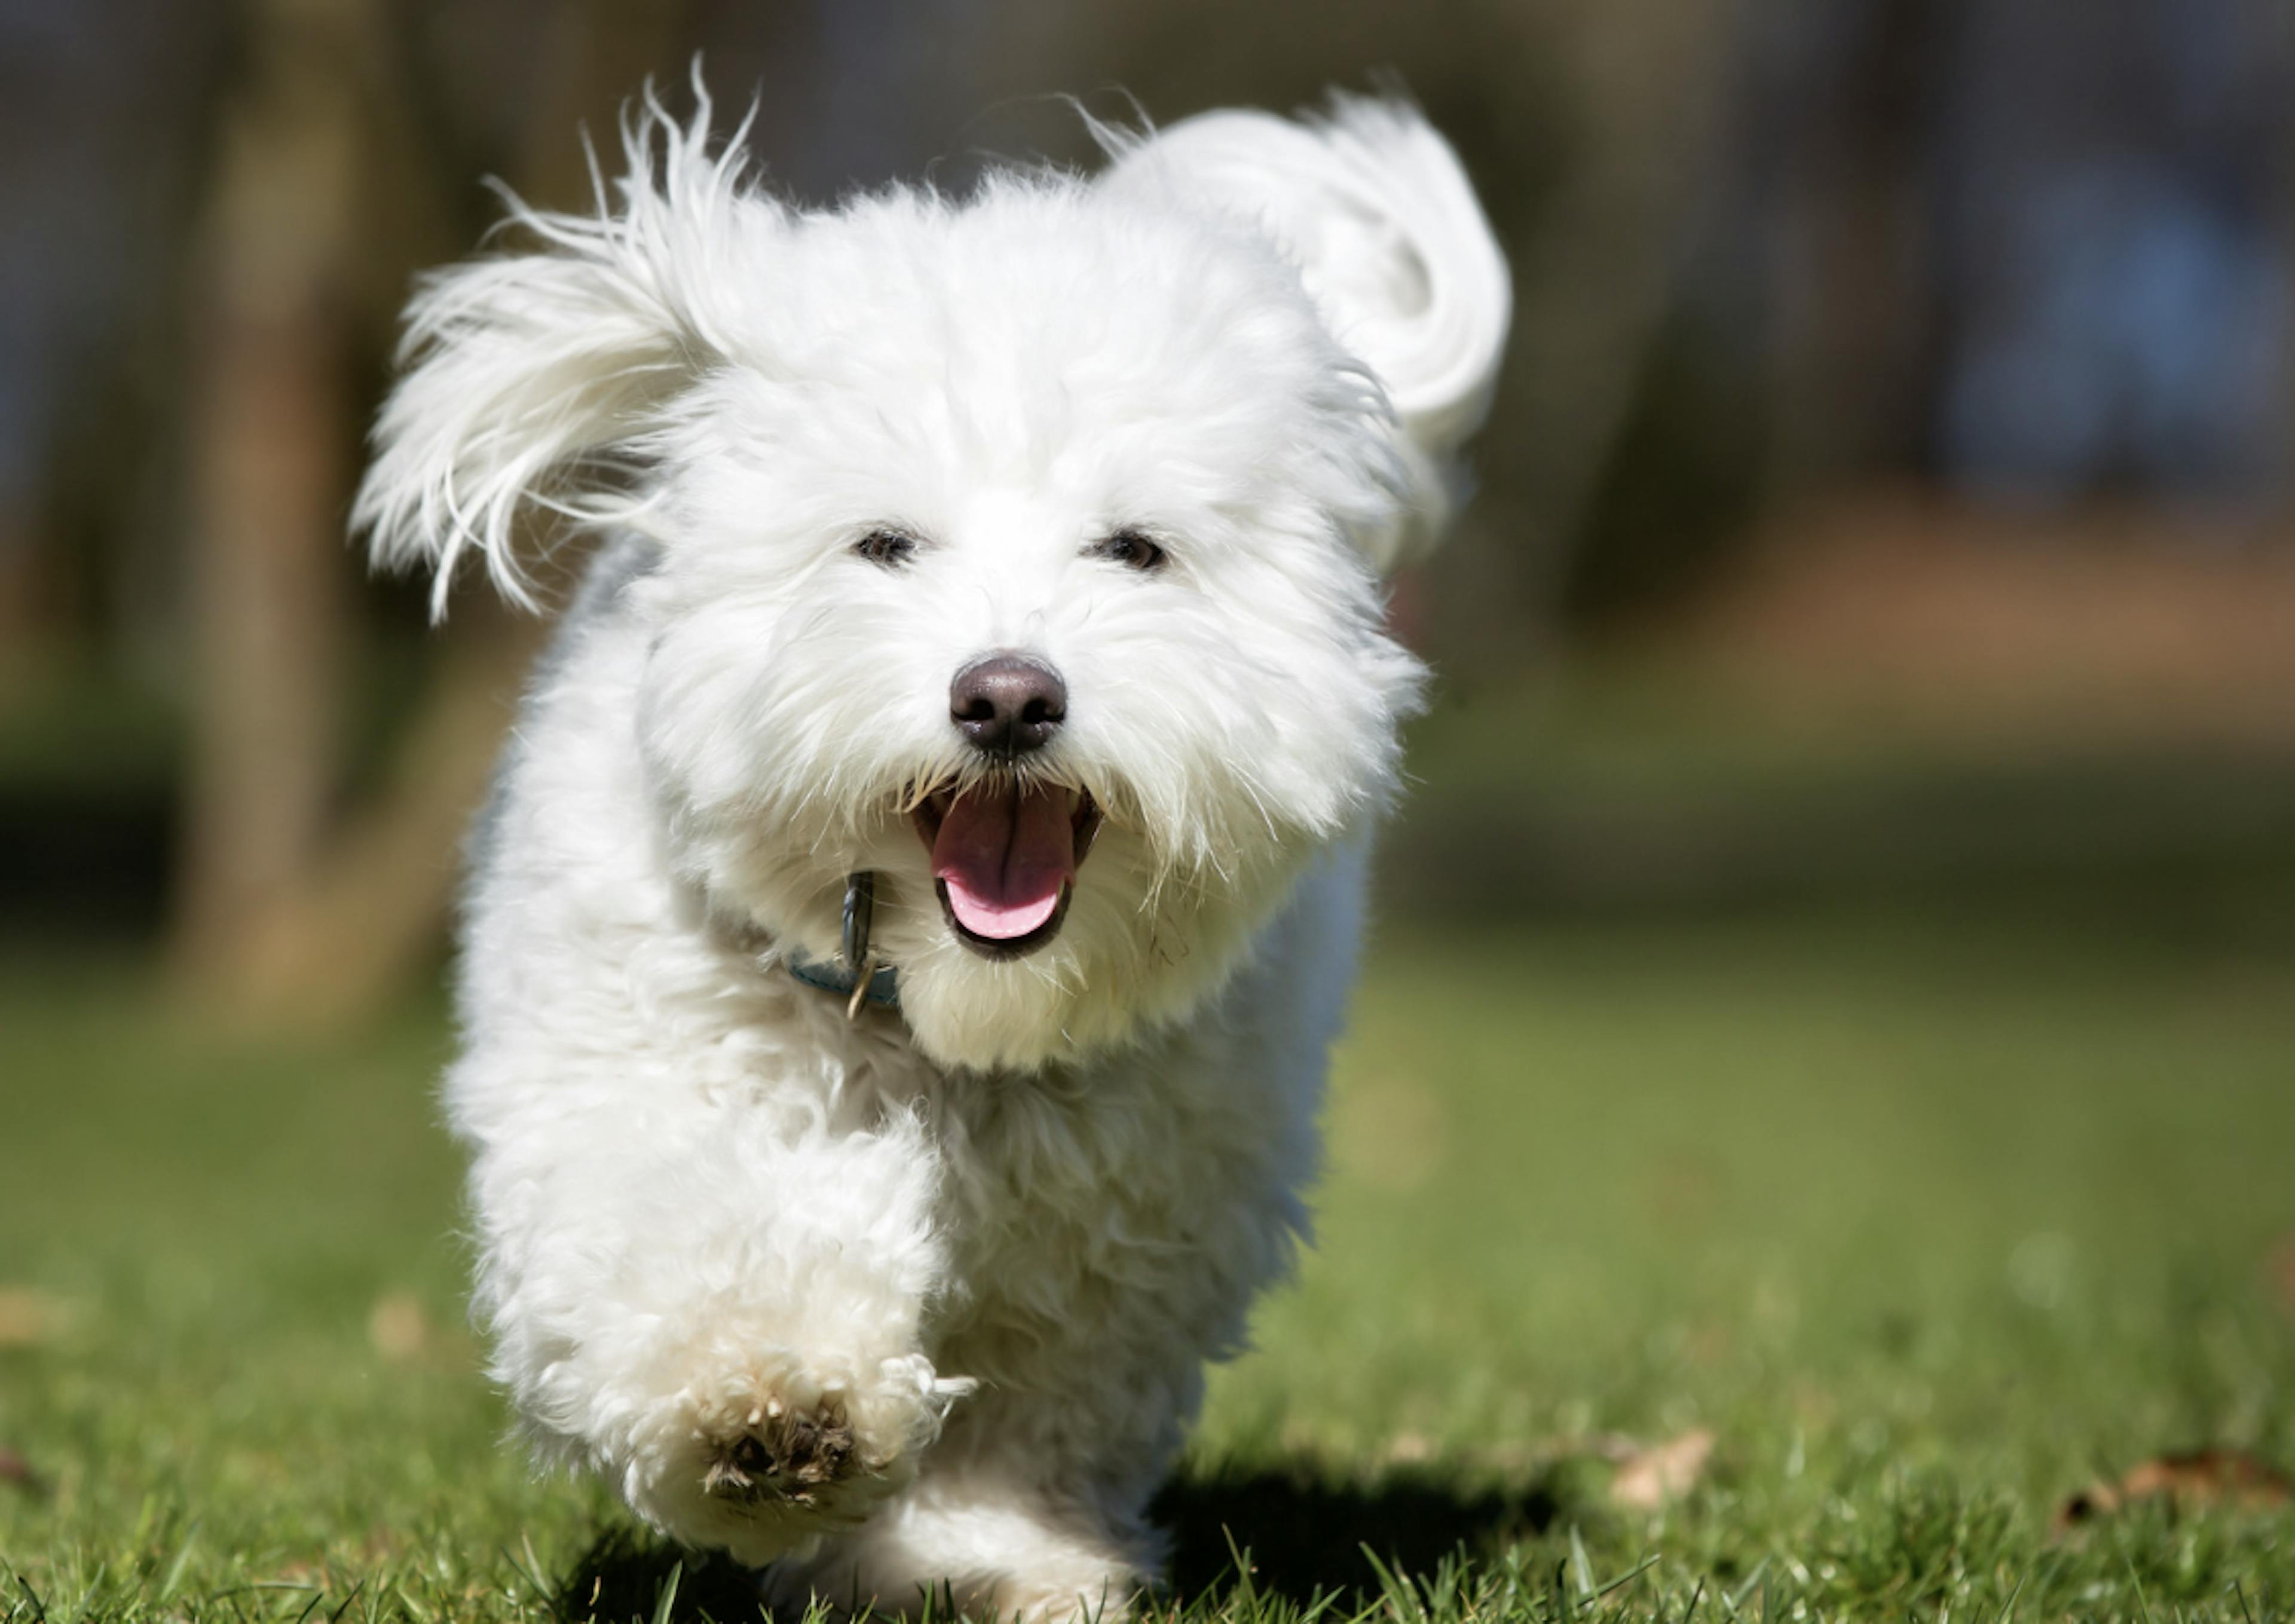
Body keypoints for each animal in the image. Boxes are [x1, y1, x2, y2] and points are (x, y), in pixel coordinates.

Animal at [353, 82, 1505, 1614]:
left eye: (1133, 549)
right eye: (883, 545)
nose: (1007, 696)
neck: (948, 1018)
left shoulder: (1126, 1219)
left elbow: (1034, 1401)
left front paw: (993, 1553)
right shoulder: (624, 1081)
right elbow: (684, 1224)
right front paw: (768, 1404)